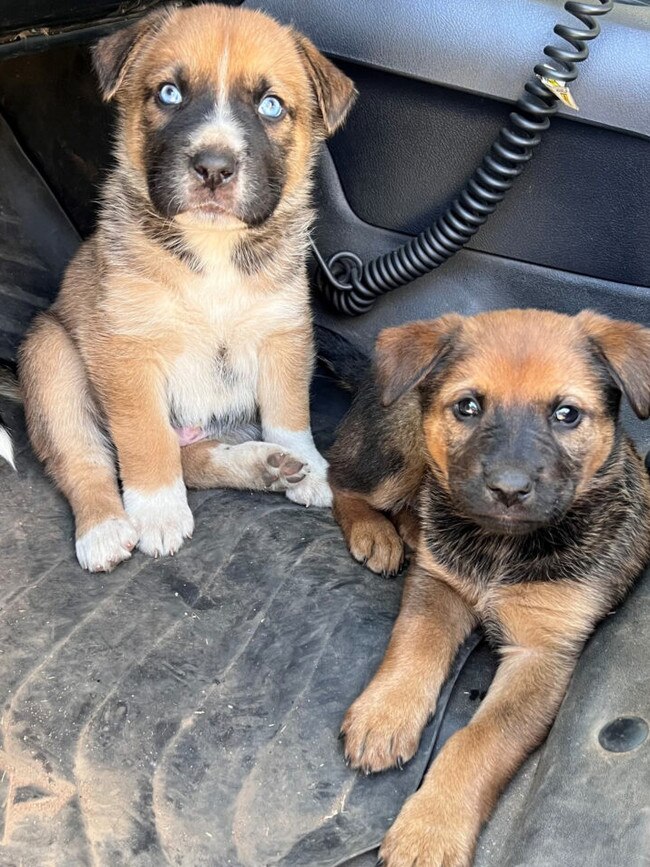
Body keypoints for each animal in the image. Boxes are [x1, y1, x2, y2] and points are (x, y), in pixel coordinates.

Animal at [19, 8, 354, 576]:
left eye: (271, 105)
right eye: (169, 93)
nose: (214, 168)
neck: (212, 248)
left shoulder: (283, 333)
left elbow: (290, 412)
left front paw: (309, 467)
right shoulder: (127, 350)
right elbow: (145, 439)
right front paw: (157, 513)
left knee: (194, 457)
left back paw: (264, 463)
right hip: (50, 360)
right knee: (86, 460)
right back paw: (105, 530)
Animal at [330, 310, 648, 867]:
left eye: (567, 414)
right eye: (468, 407)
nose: (508, 489)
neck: (502, 545)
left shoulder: (540, 653)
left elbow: (479, 741)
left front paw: (429, 829)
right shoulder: (439, 585)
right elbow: (413, 645)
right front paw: (384, 712)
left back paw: (411, 528)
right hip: (401, 444)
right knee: (338, 477)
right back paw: (376, 532)